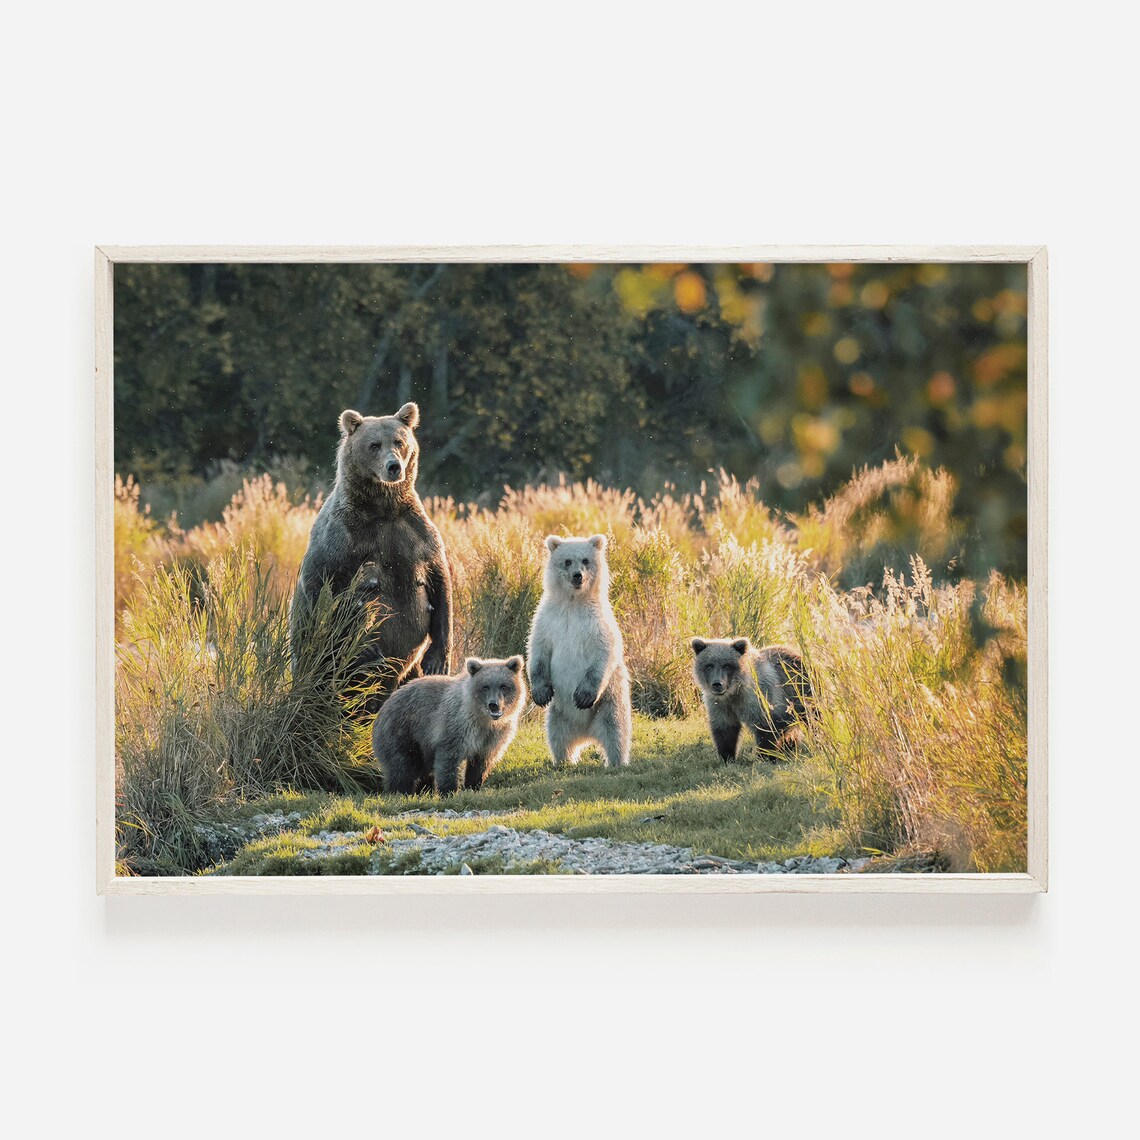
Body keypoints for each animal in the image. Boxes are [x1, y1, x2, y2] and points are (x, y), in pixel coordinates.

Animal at [289, 403, 452, 702]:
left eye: (399, 442)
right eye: (374, 444)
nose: (394, 466)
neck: (383, 508)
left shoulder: (416, 534)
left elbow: (440, 582)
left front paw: (437, 659)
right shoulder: (343, 538)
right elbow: (328, 587)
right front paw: (367, 648)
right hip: (316, 661)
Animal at [371, 655, 527, 795]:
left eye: (504, 686)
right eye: (485, 687)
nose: (493, 704)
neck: (483, 719)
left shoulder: (493, 736)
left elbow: (481, 764)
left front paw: (473, 786)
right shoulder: (457, 726)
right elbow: (448, 759)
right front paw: (449, 791)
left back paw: (424, 790)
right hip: (402, 731)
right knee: (402, 766)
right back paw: (401, 792)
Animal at [526, 534, 633, 769]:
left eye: (585, 560)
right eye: (567, 561)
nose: (577, 576)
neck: (573, 603)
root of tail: (586, 734)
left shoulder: (598, 623)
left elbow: (604, 652)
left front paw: (583, 696)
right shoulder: (548, 619)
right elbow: (538, 650)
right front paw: (540, 692)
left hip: (609, 702)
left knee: (616, 731)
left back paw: (616, 762)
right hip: (559, 714)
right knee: (557, 736)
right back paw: (564, 761)